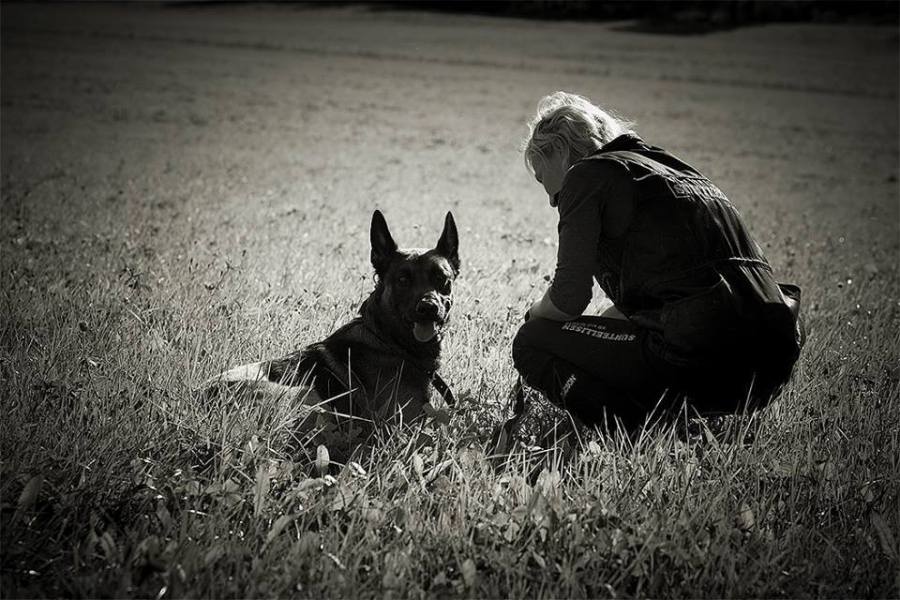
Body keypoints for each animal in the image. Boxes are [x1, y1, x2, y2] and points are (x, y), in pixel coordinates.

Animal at [205, 209, 459, 435]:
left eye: (441, 278)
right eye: (403, 279)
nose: (428, 308)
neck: (387, 340)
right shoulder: (407, 425)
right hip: (308, 396)